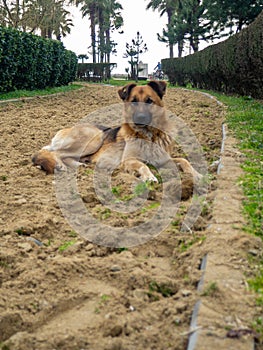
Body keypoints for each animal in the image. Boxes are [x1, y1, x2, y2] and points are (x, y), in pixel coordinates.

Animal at [32, 80, 201, 182]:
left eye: (149, 101)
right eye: (133, 101)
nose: (140, 118)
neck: (148, 136)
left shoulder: (164, 159)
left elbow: (184, 160)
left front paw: (197, 174)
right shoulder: (129, 160)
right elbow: (143, 165)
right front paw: (149, 177)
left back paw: (78, 165)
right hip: (94, 138)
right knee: (54, 153)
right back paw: (60, 165)